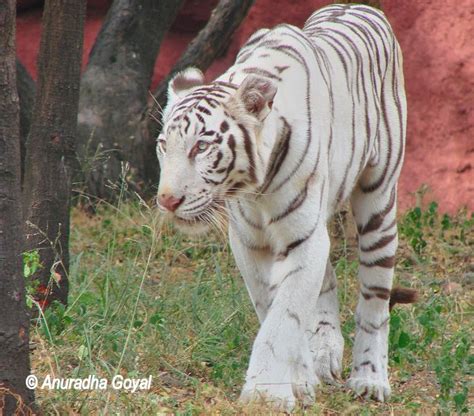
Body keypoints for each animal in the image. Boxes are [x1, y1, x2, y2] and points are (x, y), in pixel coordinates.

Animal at [156, 3, 412, 410]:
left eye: (201, 147)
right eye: (165, 145)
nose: (167, 200)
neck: (253, 189)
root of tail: (357, 6)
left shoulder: (304, 239)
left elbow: (282, 319)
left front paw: (266, 395)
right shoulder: (251, 243)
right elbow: (275, 309)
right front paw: (299, 381)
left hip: (379, 203)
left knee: (374, 300)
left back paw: (370, 379)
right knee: (327, 283)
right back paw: (325, 354)